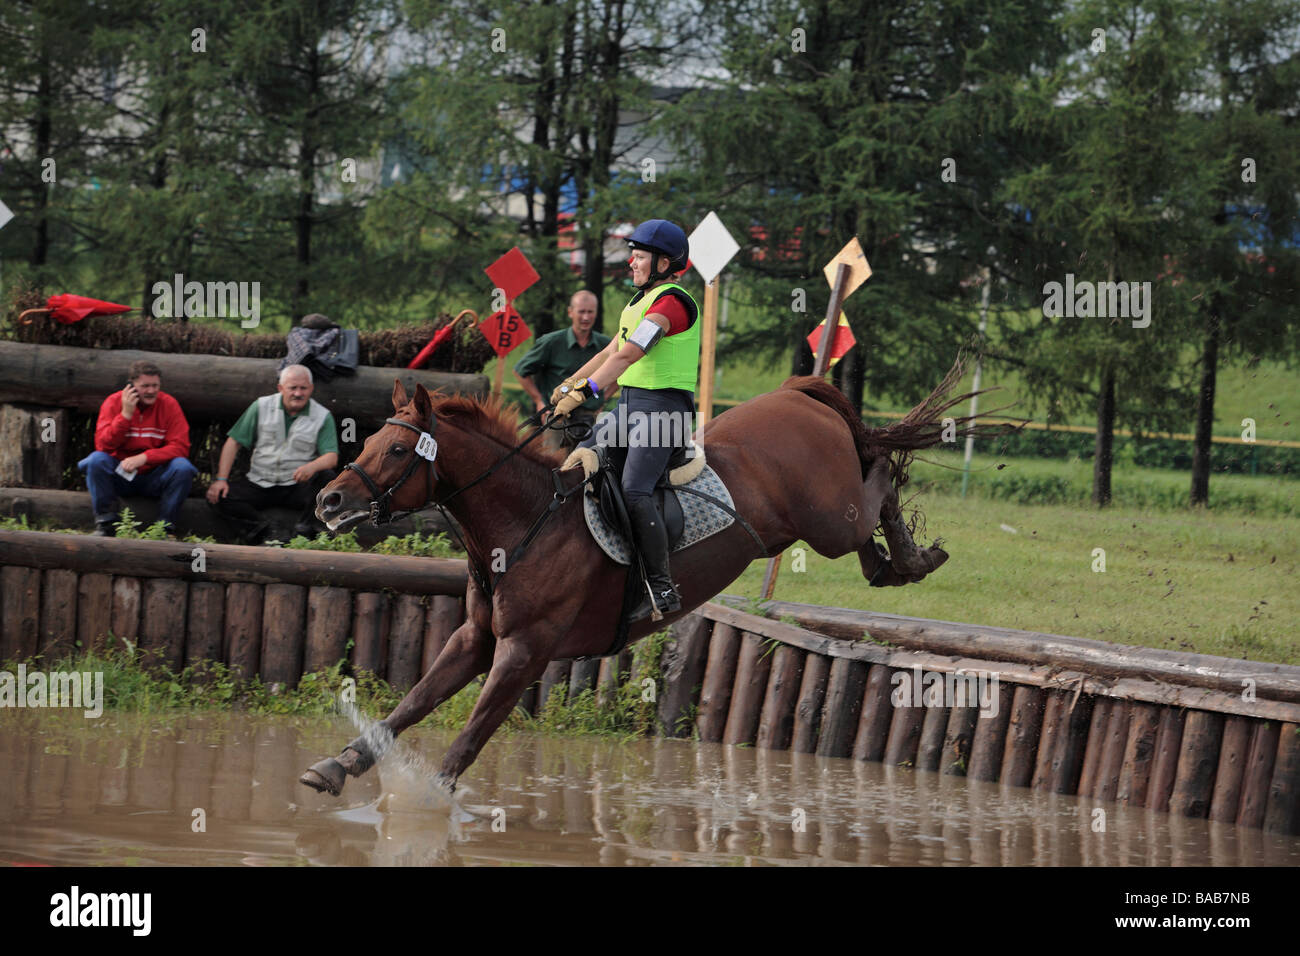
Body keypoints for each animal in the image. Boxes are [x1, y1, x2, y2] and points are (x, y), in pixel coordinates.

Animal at [300, 370, 978, 797]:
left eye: (395, 451)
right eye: (373, 439)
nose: (328, 501)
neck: (524, 521)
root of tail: (797, 394)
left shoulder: (523, 652)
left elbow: (468, 737)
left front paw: (432, 804)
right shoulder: (476, 639)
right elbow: (412, 703)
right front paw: (337, 765)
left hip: (830, 518)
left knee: (881, 476)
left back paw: (914, 556)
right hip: (824, 520)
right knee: (874, 500)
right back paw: (891, 564)